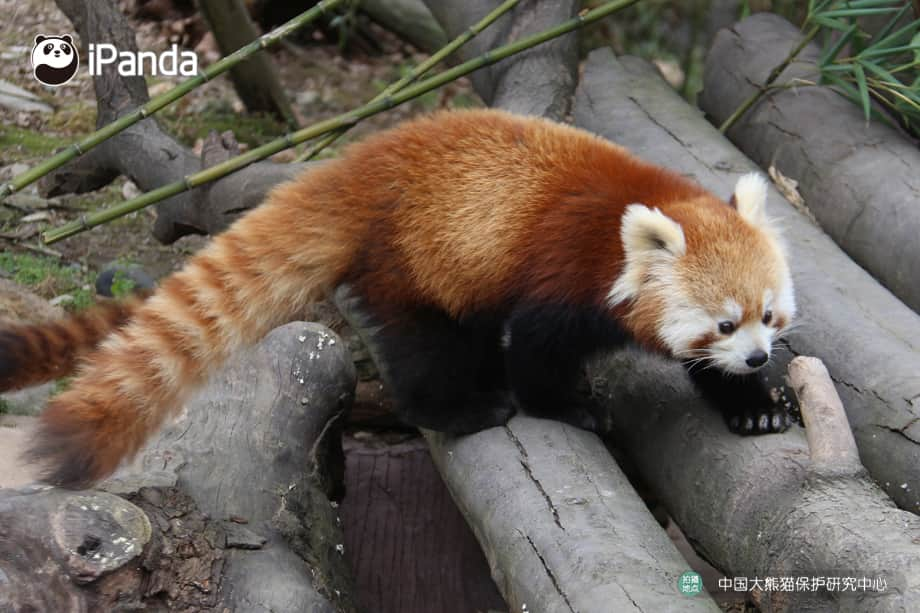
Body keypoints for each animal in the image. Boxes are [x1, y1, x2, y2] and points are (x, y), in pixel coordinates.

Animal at [12, 107, 792, 486]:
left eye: (766, 317)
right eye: (724, 323)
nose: (759, 358)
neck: (624, 237)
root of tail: (362, 162)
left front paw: (754, 407)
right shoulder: (564, 273)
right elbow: (538, 350)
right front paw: (568, 406)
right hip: (412, 261)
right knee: (424, 349)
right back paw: (463, 407)